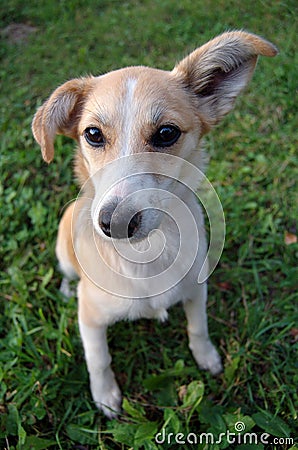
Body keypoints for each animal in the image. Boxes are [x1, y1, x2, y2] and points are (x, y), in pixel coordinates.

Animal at [32, 31, 278, 418]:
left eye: (166, 133)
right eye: (93, 134)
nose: (114, 223)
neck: (145, 255)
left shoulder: (197, 290)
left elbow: (198, 328)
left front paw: (207, 358)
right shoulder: (90, 319)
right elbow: (98, 359)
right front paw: (105, 396)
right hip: (63, 252)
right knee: (67, 275)